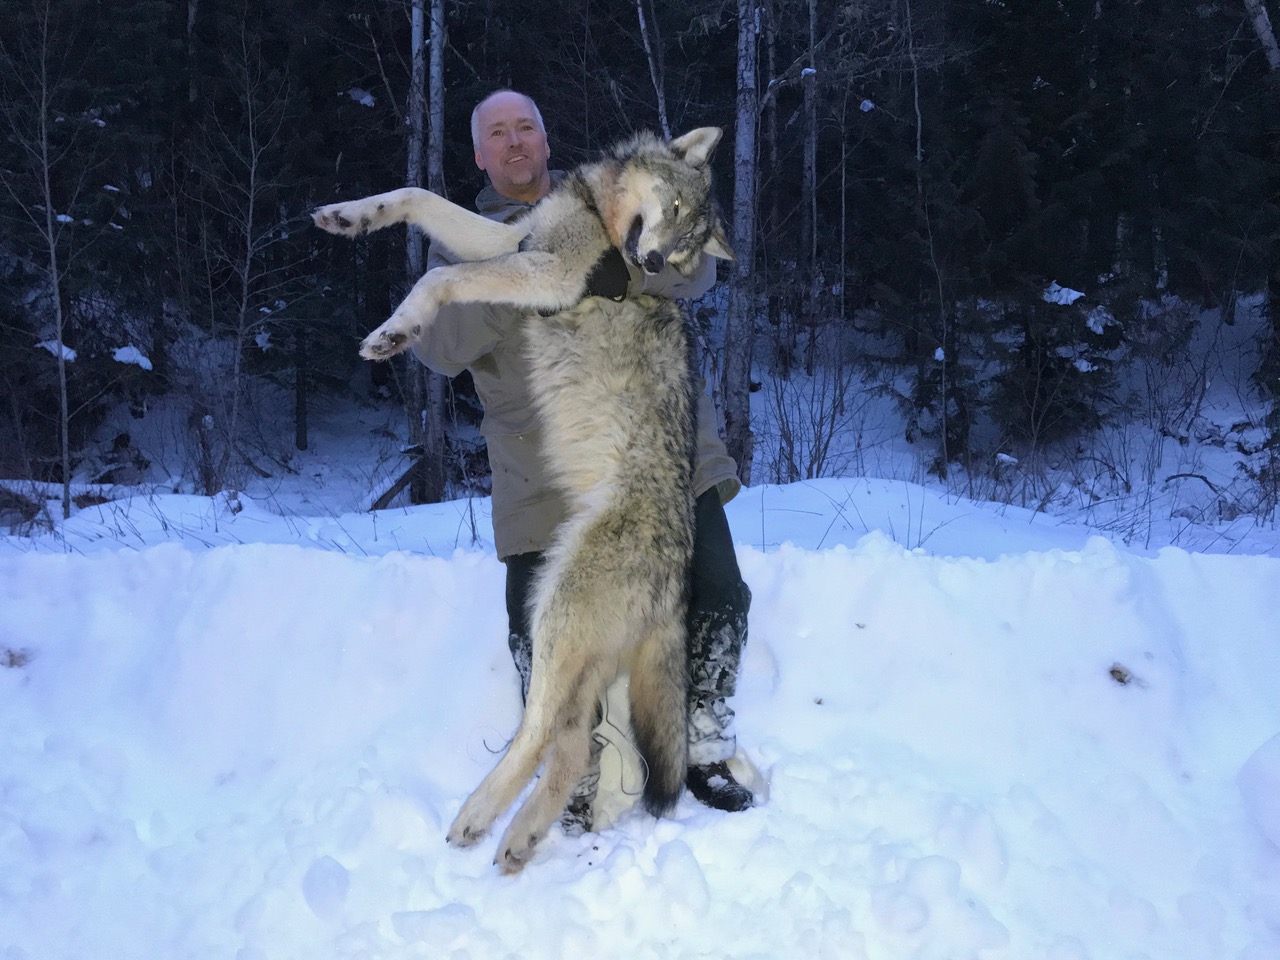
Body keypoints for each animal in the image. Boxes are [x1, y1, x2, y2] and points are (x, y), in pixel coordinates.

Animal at [313, 127, 734, 873]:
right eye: (677, 210)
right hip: (568, 644)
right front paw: (348, 217)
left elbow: (439, 278)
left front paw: (396, 330)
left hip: (555, 619)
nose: (654, 261)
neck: (601, 213)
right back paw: (518, 839)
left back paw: (477, 817)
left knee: (539, 737)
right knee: (570, 749)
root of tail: (675, 585)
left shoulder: (551, 272)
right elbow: (419, 199)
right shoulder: (515, 239)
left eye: (688, 242)